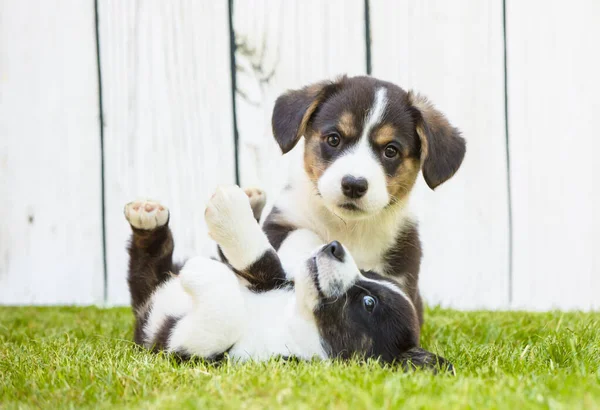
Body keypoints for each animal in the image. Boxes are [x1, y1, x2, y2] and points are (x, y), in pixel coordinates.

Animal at [123, 186, 450, 372]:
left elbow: (223, 319)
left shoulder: (201, 352)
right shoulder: (272, 279)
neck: (293, 319)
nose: (334, 246)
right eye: (366, 272)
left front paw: (201, 270)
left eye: (369, 303)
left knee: (147, 268)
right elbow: (265, 260)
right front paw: (230, 212)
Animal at [262, 74, 464, 324]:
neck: (349, 227)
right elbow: (300, 234)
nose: (354, 185)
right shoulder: (279, 221)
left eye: (390, 150)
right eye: (334, 139)